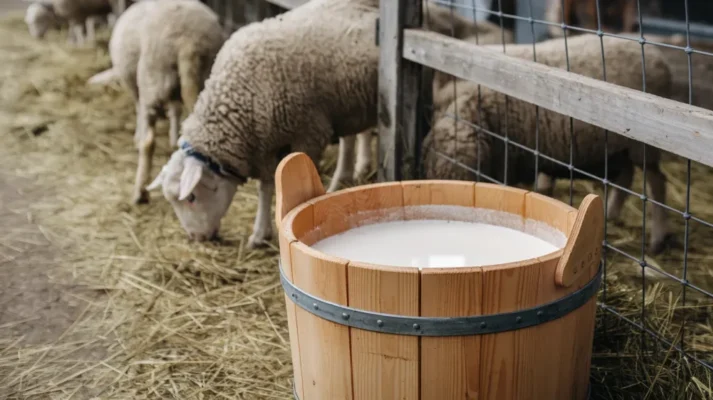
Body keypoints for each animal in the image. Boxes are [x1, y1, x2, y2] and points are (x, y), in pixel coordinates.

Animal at [88, 0, 224, 205]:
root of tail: (188, 41)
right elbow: (175, 111)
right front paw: (173, 138)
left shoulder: (134, 86)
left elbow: (139, 112)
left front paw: (138, 136)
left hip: (152, 80)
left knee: (149, 142)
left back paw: (140, 192)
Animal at [142, 0, 382, 247]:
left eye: (191, 197)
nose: (197, 238)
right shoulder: (264, 145)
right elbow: (266, 188)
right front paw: (260, 234)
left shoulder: (309, 134)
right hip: (349, 100)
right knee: (354, 136)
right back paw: (348, 176)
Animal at [422, 33, 672, 253]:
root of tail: (656, 56)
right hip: (619, 146)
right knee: (627, 174)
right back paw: (611, 213)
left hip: (644, 145)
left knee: (657, 182)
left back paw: (657, 240)